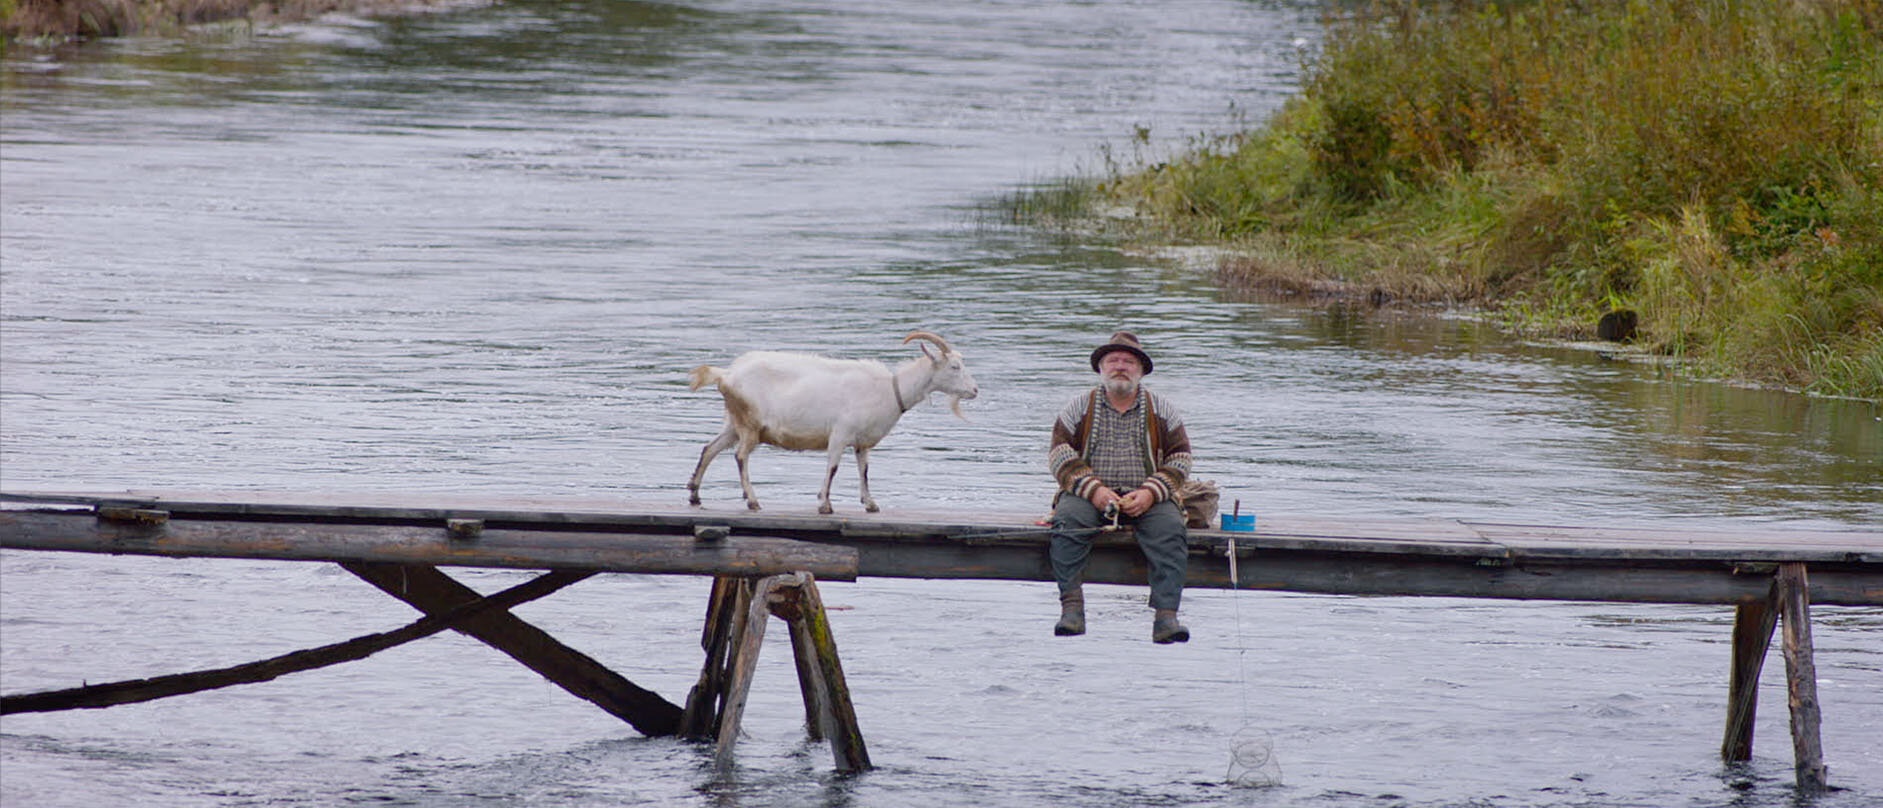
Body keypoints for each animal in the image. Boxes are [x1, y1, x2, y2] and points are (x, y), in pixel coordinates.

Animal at [685, 331, 979, 512]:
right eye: (954, 367)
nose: (975, 390)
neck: (889, 390)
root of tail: (727, 374)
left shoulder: (862, 443)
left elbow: (864, 471)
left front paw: (870, 504)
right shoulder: (840, 434)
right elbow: (834, 467)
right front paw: (824, 504)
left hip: (733, 423)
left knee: (710, 448)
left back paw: (694, 494)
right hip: (750, 423)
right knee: (740, 456)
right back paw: (753, 501)